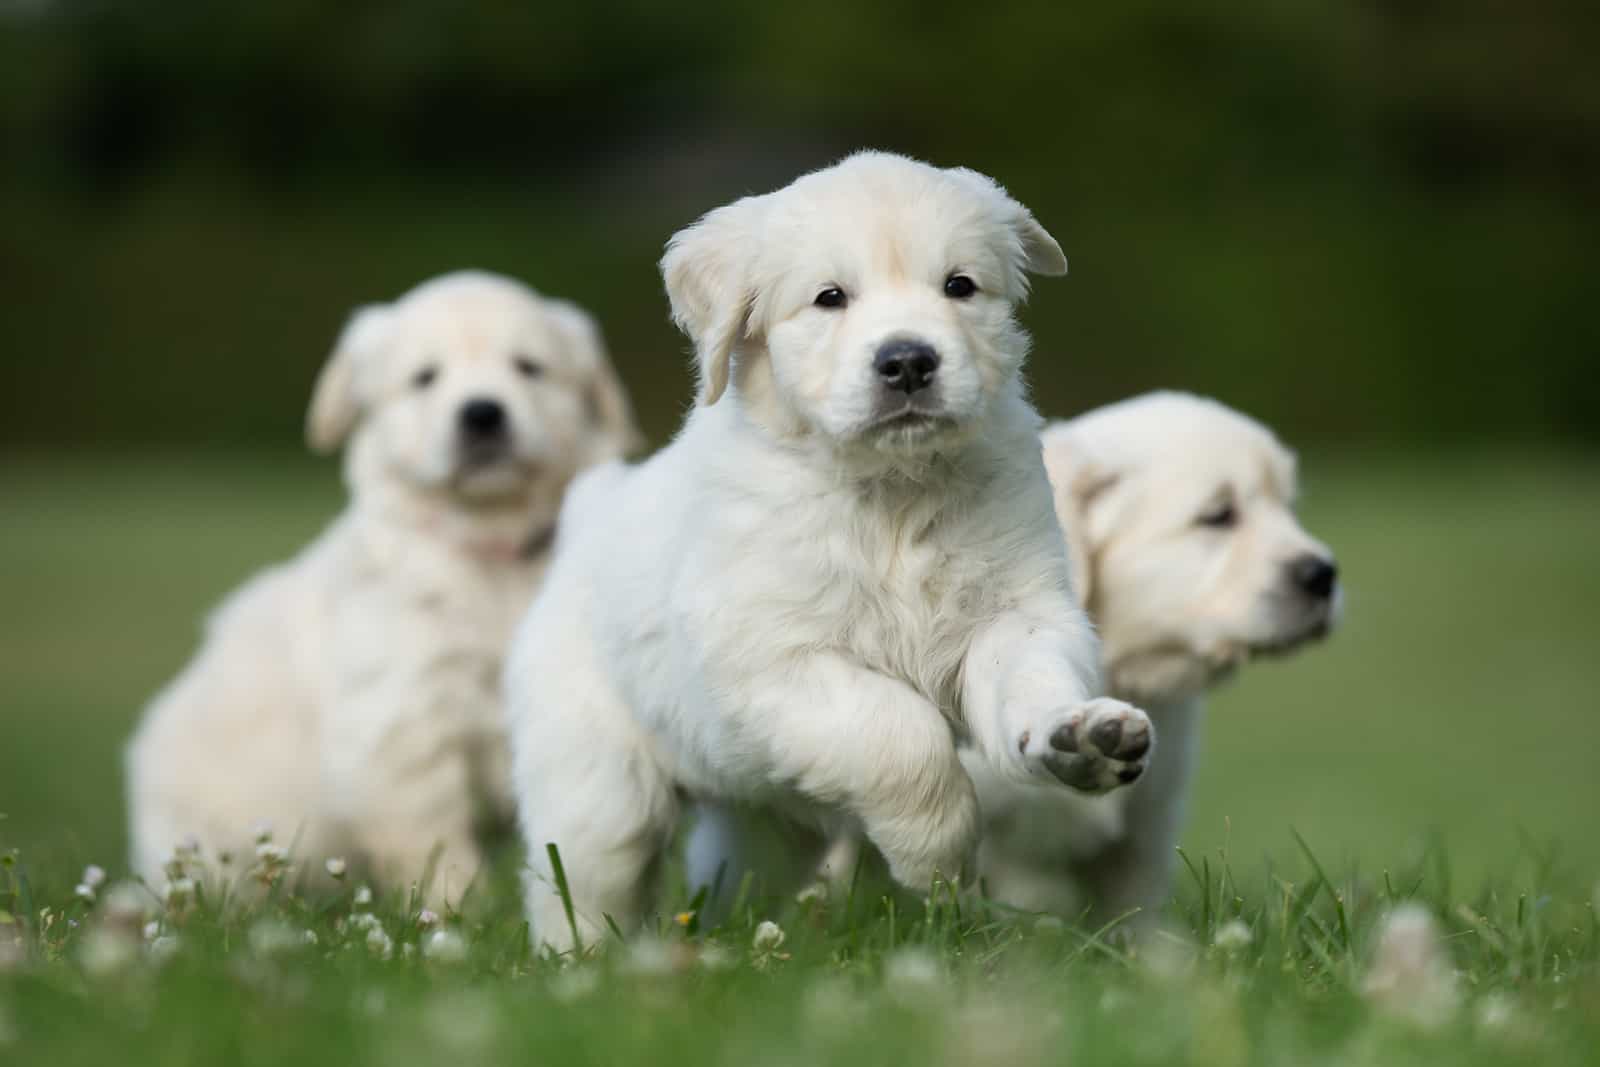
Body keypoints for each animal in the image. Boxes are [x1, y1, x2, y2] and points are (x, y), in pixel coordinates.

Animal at [126, 271, 636, 908]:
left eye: (529, 367)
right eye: (424, 377)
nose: (482, 414)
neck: (487, 548)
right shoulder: (401, 728)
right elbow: (434, 845)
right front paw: (454, 910)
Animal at [505, 151, 1158, 953]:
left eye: (960, 286)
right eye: (830, 298)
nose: (908, 361)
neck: (891, 492)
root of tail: (588, 516)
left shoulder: (1014, 608)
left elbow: (1028, 677)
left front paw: (1081, 739)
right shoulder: (771, 663)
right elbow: (899, 734)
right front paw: (939, 857)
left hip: (763, 817)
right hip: (596, 783)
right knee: (588, 880)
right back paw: (582, 961)